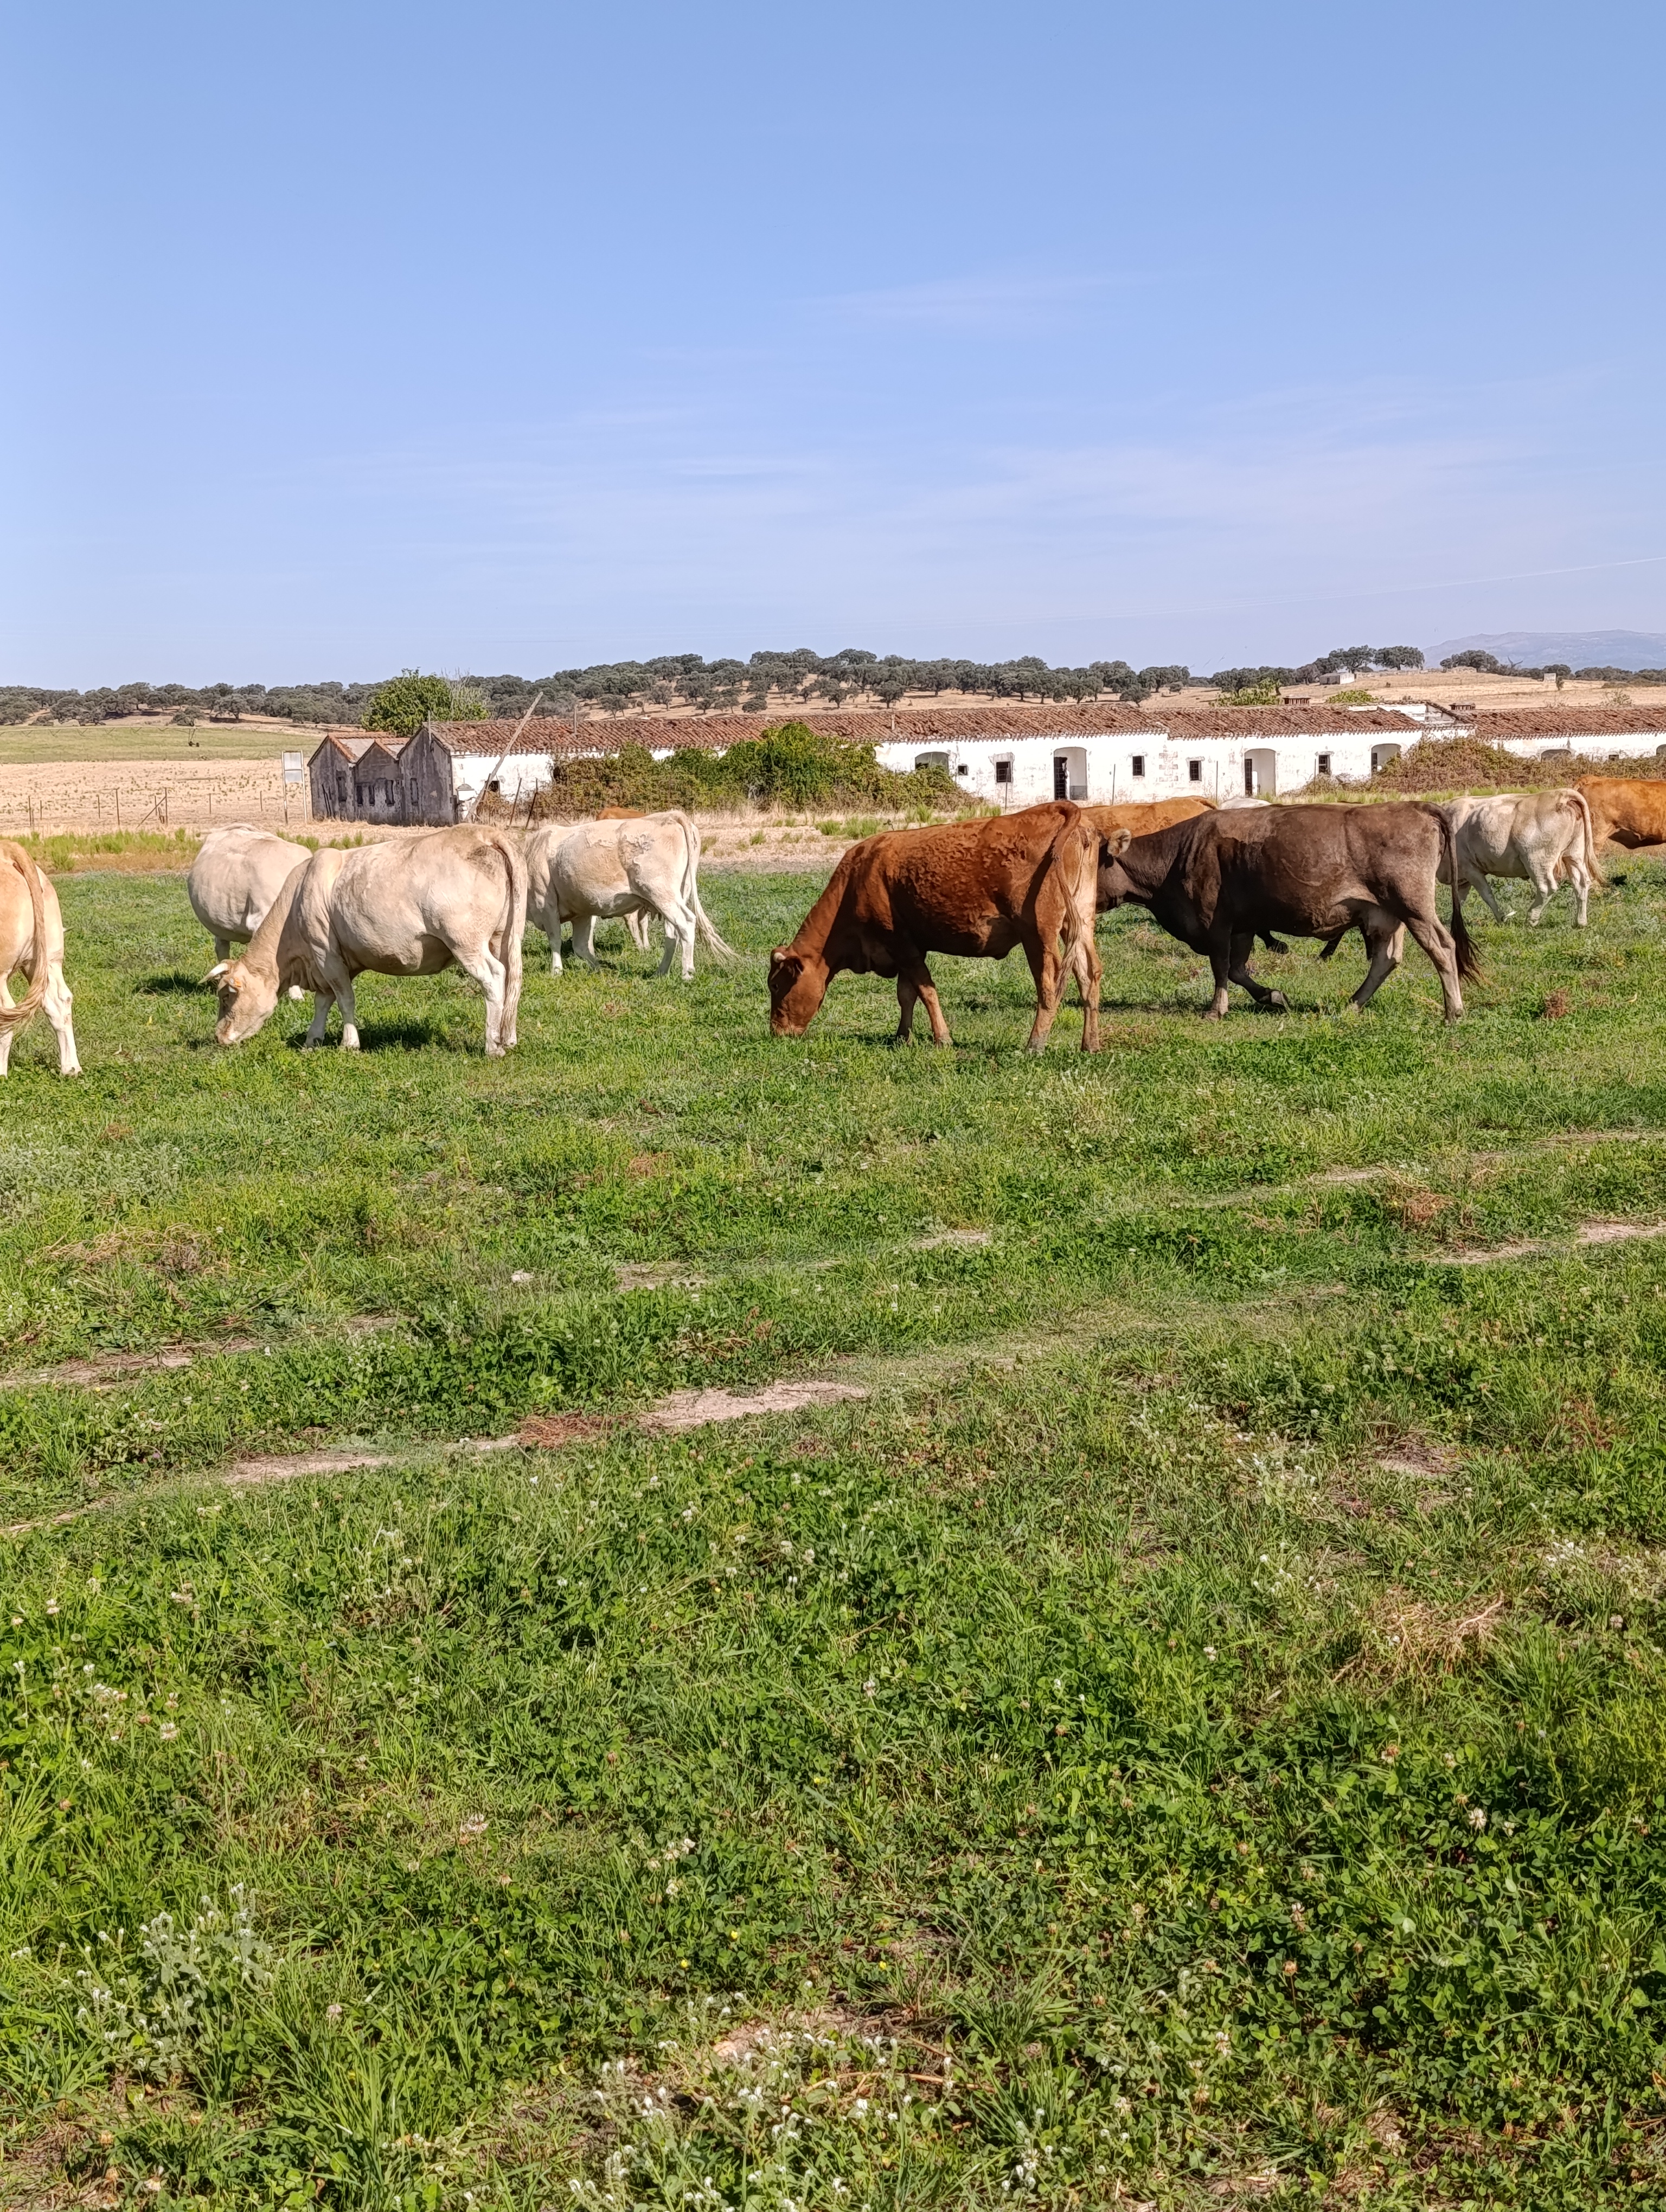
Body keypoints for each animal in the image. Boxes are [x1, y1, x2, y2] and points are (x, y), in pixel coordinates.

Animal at [208, 826, 526, 1056]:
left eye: (226, 997)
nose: (219, 1037)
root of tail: (482, 832)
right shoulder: (330, 962)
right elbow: (324, 1001)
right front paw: (313, 1040)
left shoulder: (325, 953)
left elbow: (344, 999)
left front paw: (349, 1044)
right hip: (503, 936)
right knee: (512, 976)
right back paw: (508, 1037)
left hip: (466, 942)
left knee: (493, 977)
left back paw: (492, 1045)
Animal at [525, 810, 732, 980]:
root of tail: (670, 815)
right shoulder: (582, 912)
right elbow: (580, 946)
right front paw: (598, 968)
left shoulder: (545, 902)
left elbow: (556, 940)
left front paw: (556, 971)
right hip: (678, 893)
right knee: (672, 933)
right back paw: (660, 972)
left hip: (661, 893)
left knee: (686, 923)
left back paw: (687, 973)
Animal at [768, 801, 1114, 1053]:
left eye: (775, 986)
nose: (776, 1032)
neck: (858, 877)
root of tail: (1058, 810)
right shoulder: (908, 947)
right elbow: (906, 994)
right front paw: (902, 1037)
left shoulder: (901, 945)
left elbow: (926, 991)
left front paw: (942, 1039)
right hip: (1079, 923)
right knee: (1089, 974)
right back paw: (1090, 1044)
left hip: (1039, 933)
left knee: (1050, 982)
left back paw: (1034, 1044)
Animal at [1090, 802, 1478, 1021]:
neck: (1177, 857)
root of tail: (1416, 805)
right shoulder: (1243, 925)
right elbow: (1237, 970)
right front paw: (1273, 997)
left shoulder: (1216, 922)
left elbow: (1220, 968)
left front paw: (1216, 1010)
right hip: (1385, 913)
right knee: (1386, 959)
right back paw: (1353, 1005)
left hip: (1413, 905)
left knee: (1443, 948)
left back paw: (1453, 1012)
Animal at [1435, 789, 1600, 926]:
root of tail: (1559, 794)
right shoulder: (1462, 877)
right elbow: (1459, 899)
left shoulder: (1470, 869)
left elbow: (1487, 894)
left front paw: (1501, 918)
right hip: (1574, 854)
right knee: (1581, 883)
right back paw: (1581, 921)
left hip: (1537, 860)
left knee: (1547, 887)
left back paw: (1532, 918)